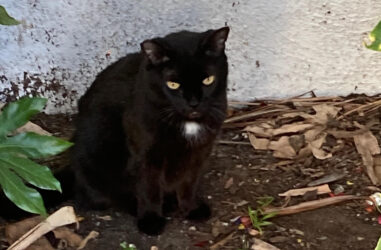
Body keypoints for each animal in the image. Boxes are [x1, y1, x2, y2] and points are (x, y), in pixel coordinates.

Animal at [72, 26, 229, 235]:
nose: (194, 103)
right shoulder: (144, 155)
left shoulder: (199, 152)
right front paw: (151, 220)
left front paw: (191, 208)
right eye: (173, 84)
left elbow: (190, 183)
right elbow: (149, 189)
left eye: (208, 80)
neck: (186, 123)